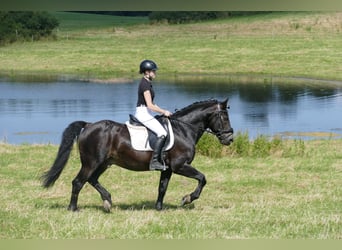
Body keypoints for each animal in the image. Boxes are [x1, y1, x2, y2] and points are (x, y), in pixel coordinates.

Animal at [40, 98, 232, 212]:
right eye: (224, 117)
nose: (229, 138)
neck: (183, 130)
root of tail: (88, 125)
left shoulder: (167, 169)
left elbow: (162, 187)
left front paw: (159, 208)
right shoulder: (180, 166)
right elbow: (202, 178)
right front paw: (187, 199)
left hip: (104, 163)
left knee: (92, 179)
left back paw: (107, 201)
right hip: (91, 162)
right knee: (78, 182)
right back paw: (73, 208)